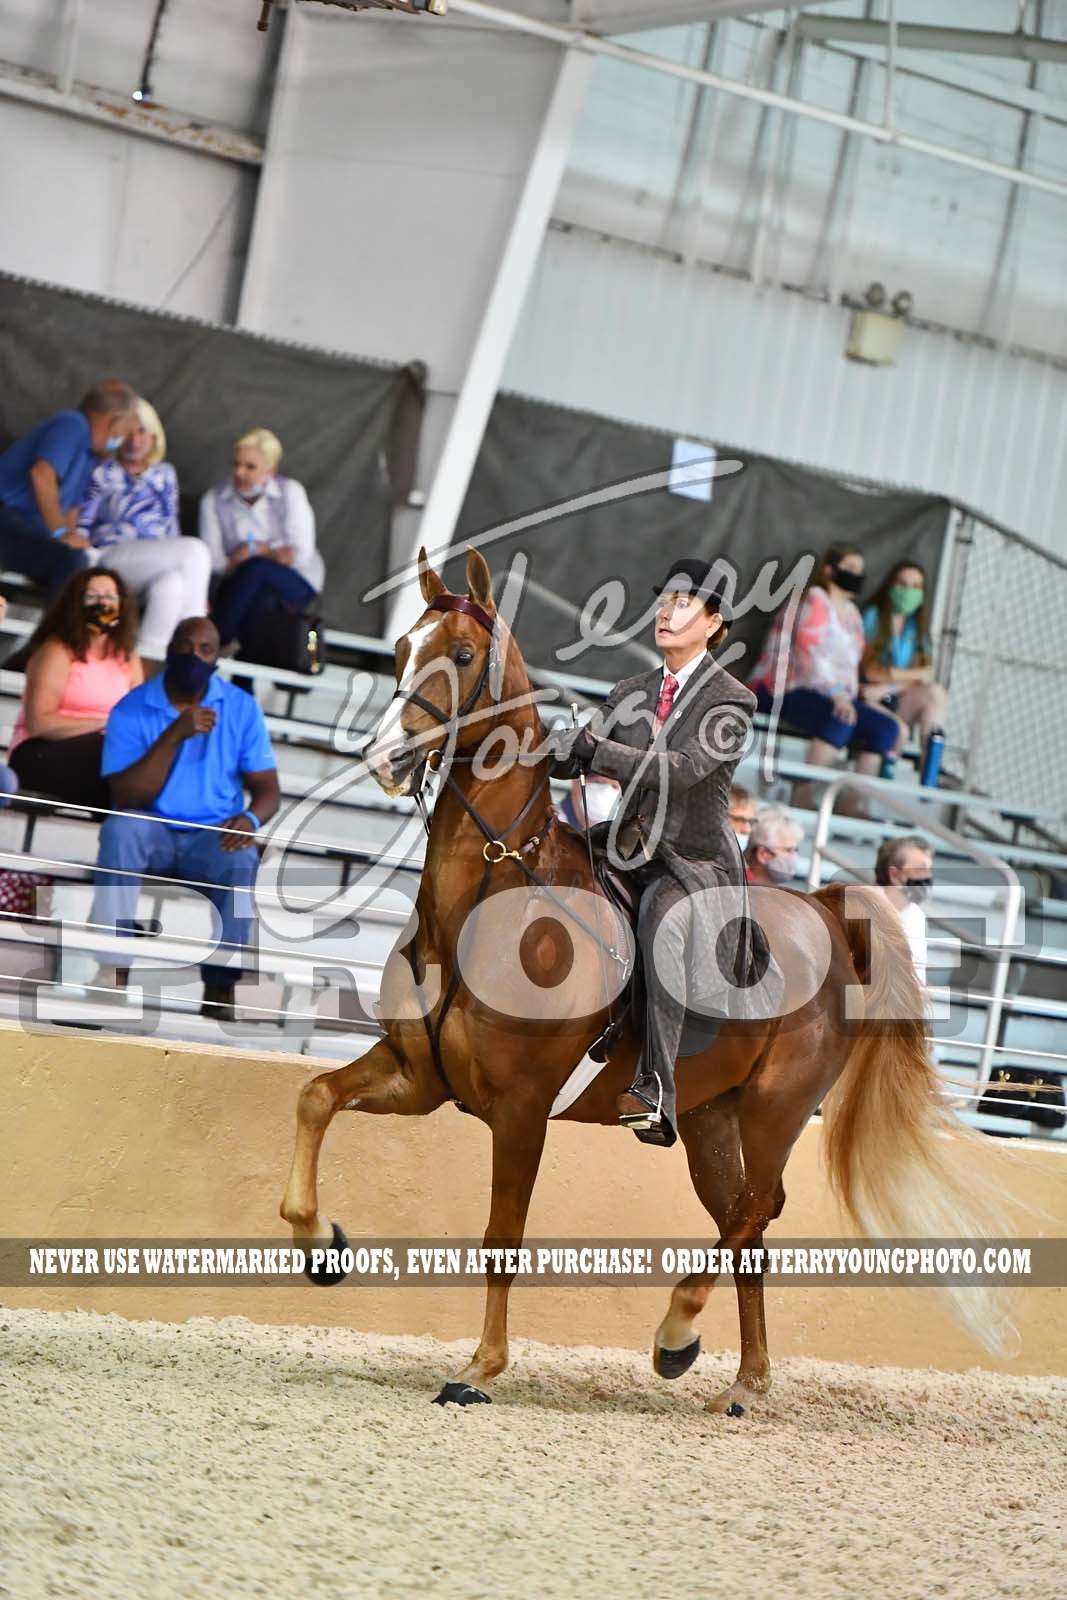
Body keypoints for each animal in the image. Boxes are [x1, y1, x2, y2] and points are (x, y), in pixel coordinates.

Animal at [280, 545, 1011, 1412]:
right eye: (398, 647)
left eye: (459, 655)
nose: (383, 757)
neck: (494, 901)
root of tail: (826, 915)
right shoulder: (417, 1077)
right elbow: (315, 1098)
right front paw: (319, 1246)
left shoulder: (521, 1111)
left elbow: (502, 1236)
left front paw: (479, 1368)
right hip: (708, 1118)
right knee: (748, 1223)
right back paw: (744, 1380)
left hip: (775, 1108)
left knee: (754, 1210)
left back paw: (677, 1330)